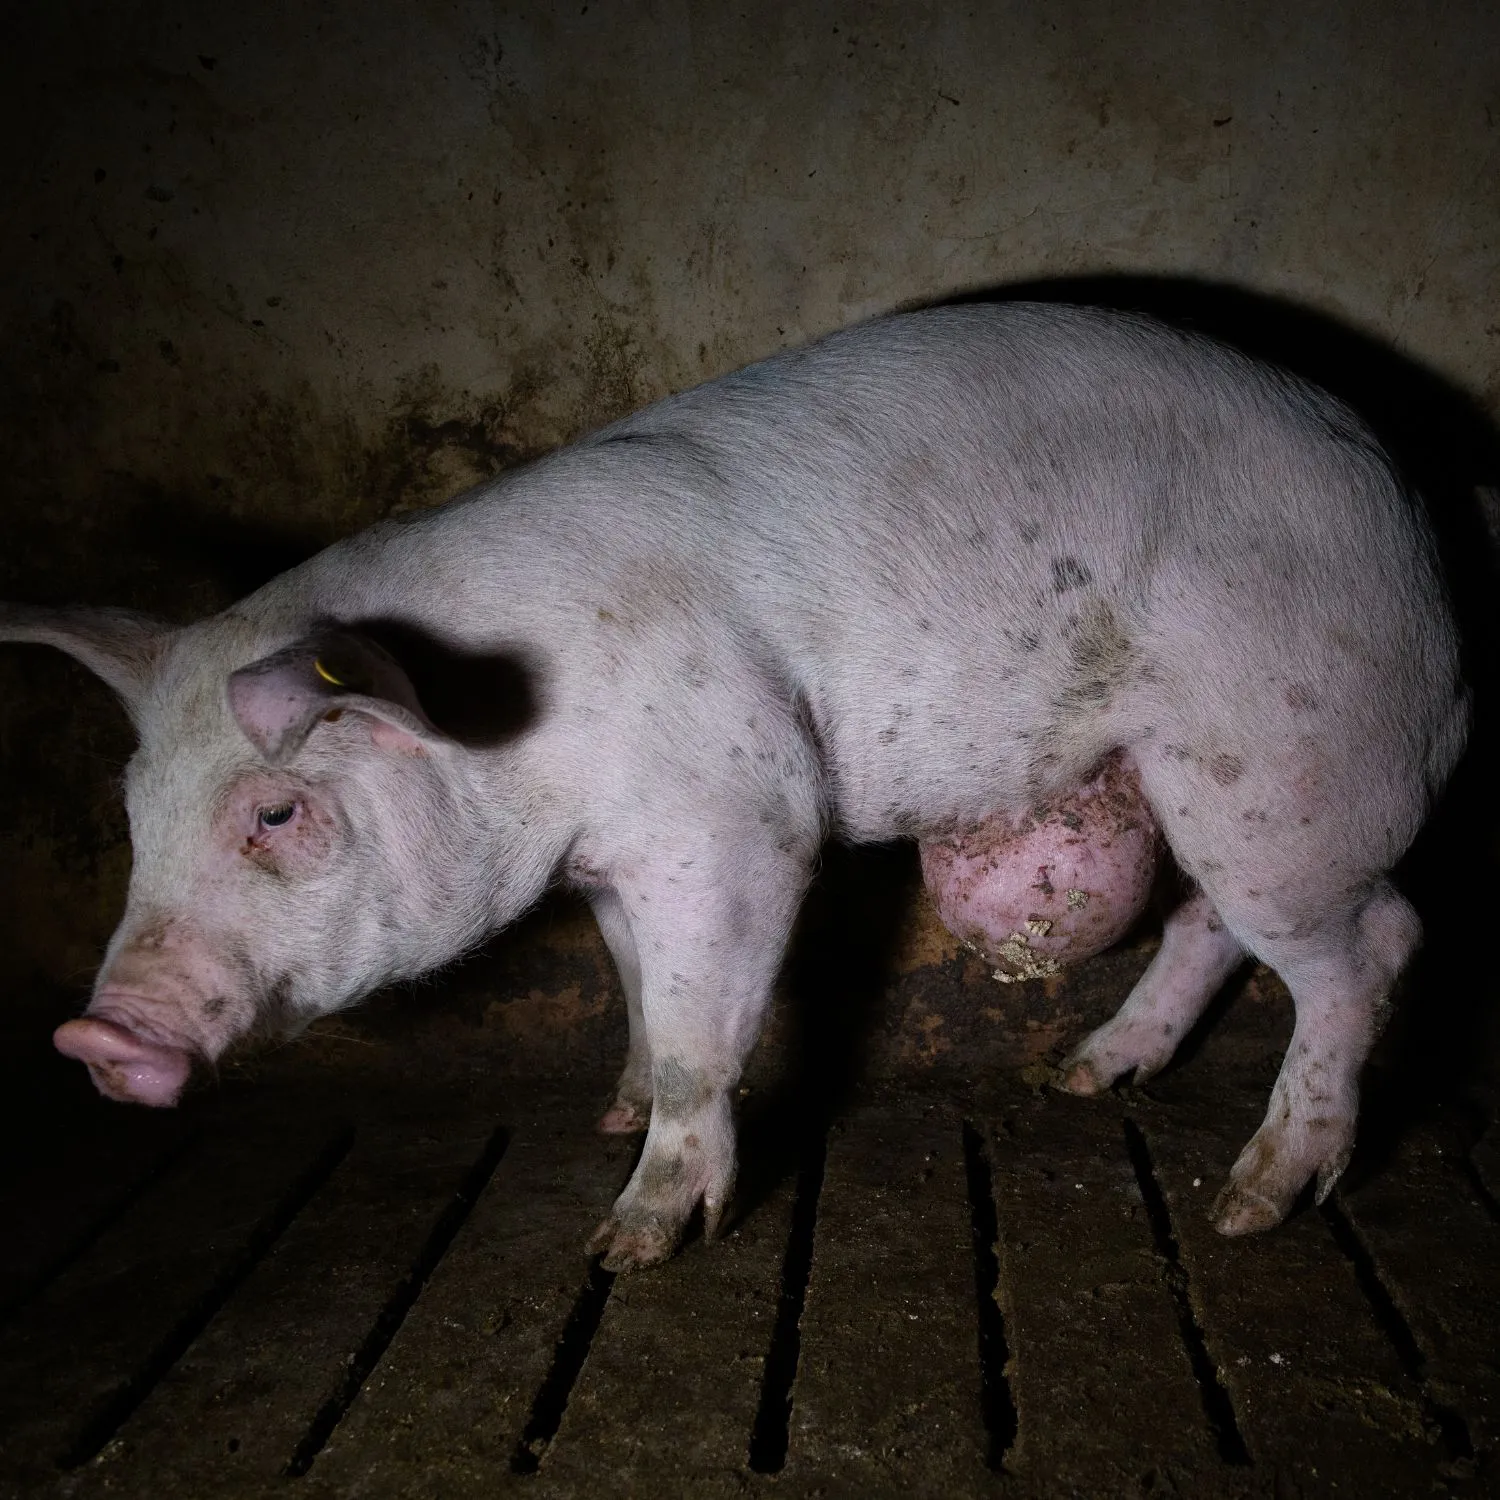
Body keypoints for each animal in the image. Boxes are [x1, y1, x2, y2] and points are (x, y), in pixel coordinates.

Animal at [0, 302, 1468, 1269]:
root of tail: (1422, 523)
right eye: (132, 819)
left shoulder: (733, 815)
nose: (94, 1040)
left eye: (277, 812)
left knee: (1377, 943)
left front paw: (630, 1242)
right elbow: (637, 993)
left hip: (1289, 756)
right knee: (1219, 919)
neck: (508, 730)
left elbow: (707, 1029)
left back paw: (1252, 1202)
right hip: (1204, 786)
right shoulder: (605, 866)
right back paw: (1080, 1077)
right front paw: (609, 1105)